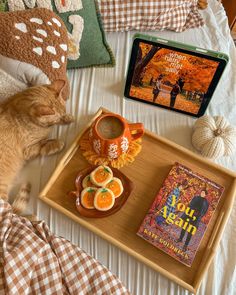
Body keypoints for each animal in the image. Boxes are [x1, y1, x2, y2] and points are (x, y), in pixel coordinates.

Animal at [0, 80, 74, 216]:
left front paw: (67, 118)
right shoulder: (29, 150)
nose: (63, 117)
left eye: (63, 112)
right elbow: (43, 144)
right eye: (55, 120)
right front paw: (56, 143)